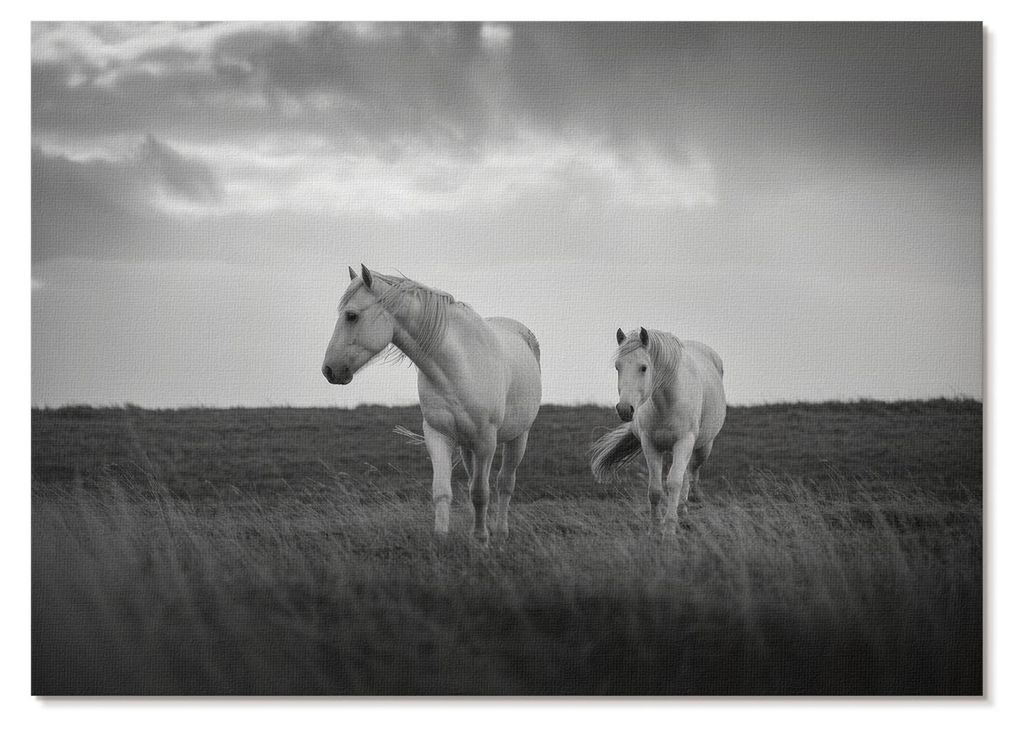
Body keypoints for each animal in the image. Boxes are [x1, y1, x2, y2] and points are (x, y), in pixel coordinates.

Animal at [322, 265, 542, 543]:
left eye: (351, 316)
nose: (329, 370)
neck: (458, 366)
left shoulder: (486, 441)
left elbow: (481, 492)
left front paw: (481, 539)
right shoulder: (438, 435)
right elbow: (443, 490)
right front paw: (441, 537)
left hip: (518, 437)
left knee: (505, 483)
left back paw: (501, 532)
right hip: (467, 446)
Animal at [589, 327, 726, 536]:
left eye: (644, 367)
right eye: (617, 367)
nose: (624, 409)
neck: (667, 403)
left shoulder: (684, 443)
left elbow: (674, 483)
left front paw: (669, 531)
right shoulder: (650, 445)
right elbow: (655, 489)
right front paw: (654, 529)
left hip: (702, 448)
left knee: (691, 476)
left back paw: (683, 514)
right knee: (685, 477)